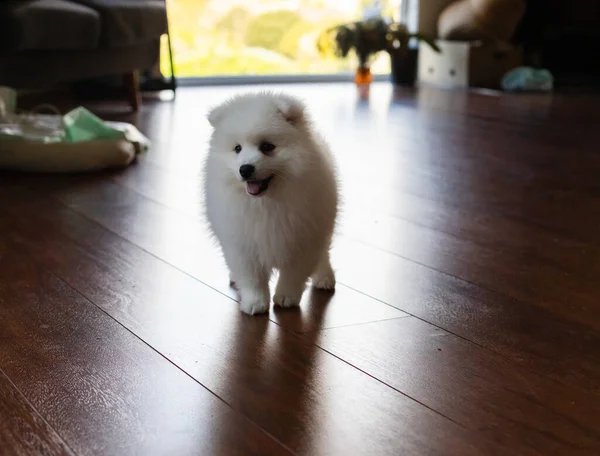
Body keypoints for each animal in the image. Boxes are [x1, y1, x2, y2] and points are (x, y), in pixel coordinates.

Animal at [205, 91, 338, 314]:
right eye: (237, 148)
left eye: (267, 146)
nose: (245, 169)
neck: (266, 202)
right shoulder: (243, 243)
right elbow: (251, 277)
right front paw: (255, 303)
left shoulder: (303, 238)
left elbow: (294, 273)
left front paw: (286, 298)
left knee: (324, 254)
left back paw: (324, 277)